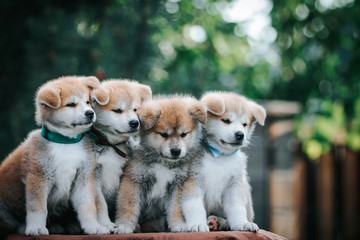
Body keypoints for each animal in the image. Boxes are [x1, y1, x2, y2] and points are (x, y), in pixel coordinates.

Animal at [90, 79, 153, 229]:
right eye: (117, 110)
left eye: (135, 110)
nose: (135, 123)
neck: (112, 145)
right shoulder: (96, 177)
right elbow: (101, 205)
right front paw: (106, 224)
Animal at [114, 94, 207, 233]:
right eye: (163, 134)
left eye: (183, 134)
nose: (176, 151)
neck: (163, 164)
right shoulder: (133, 180)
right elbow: (128, 206)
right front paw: (124, 225)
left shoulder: (176, 185)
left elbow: (175, 208)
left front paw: (178, 225)